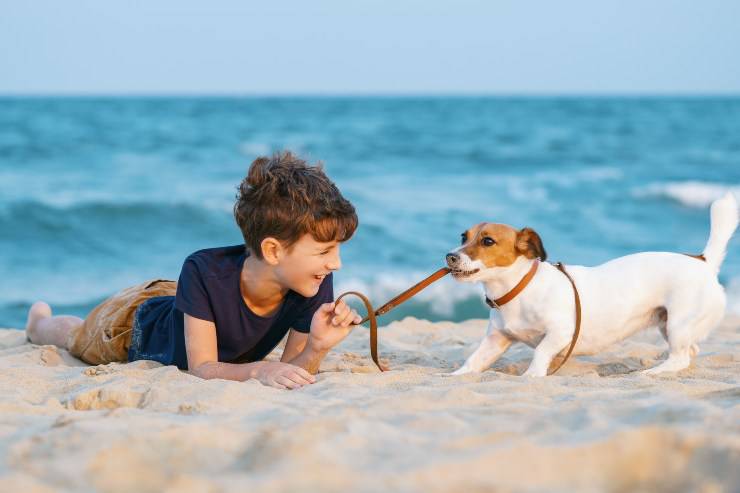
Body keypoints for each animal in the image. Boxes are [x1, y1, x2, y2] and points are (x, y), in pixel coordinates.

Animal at [442, 192, 736, 376]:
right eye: (463, 236)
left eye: (487, 241)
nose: (450, 256)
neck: (518, 288)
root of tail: (704, 261)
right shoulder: (496, 340)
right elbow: (472, 361)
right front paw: (455, 376)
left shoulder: (561, 332)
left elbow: (541, 352)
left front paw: (532, 375)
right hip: (670, 325)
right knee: (690, 352)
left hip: (678, 325)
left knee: (679, 358)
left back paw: (654, 371)